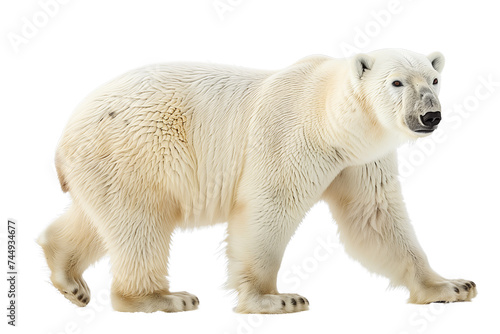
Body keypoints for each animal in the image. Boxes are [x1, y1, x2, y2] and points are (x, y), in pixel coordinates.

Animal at [38, 49, 476, 314]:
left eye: (433, 80)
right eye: (397, 82)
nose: (430, 116)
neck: (330, 119)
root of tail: (63, 136)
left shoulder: (360, 160)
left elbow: (375, 218)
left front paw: (453, 286)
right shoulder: (292, 137)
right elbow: (269, 206)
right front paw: (276, 298)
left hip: (104, 166)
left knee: (101, 219)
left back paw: (70, 278)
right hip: (137, 151)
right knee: (141, 222)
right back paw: (164, 296)